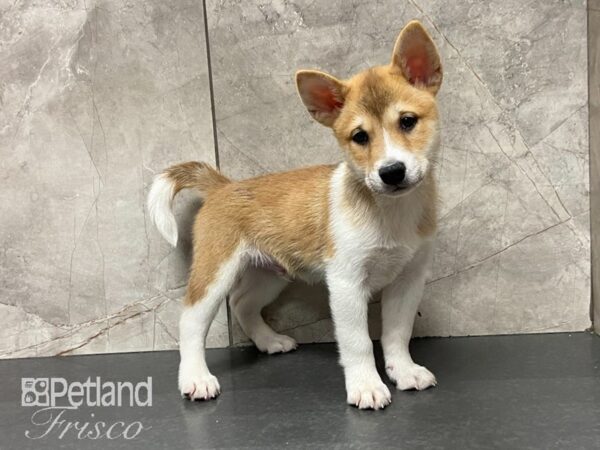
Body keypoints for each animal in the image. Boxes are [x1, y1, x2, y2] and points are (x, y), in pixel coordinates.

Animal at [148, 19, 442, 410]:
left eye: (408, 121)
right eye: (360, 137)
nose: (391, 172)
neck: (389, 212)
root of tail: (223, 186)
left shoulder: (408, 279)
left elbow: (397, 333)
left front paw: (404, 372)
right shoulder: (347, 283)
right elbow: (359, 342)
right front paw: (366, 385)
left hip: (268, 274)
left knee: (242, 304)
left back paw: (269, 341)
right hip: (216, 271)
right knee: (192, 321)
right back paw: (195, 378)